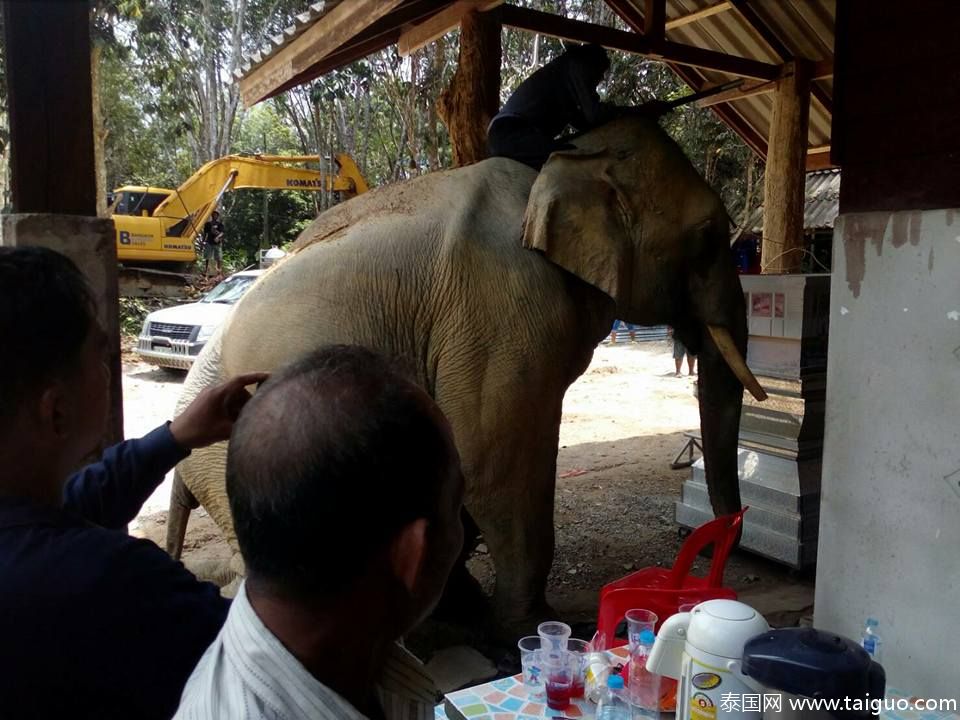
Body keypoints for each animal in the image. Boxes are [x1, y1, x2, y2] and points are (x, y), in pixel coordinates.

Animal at [165, 115, 764, 632]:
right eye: (709, 236)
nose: (728, 537)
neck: (558, 163)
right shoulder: (503, 308)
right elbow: (496, 463)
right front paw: (534, 625)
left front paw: (466, 609)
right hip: (229, 462)